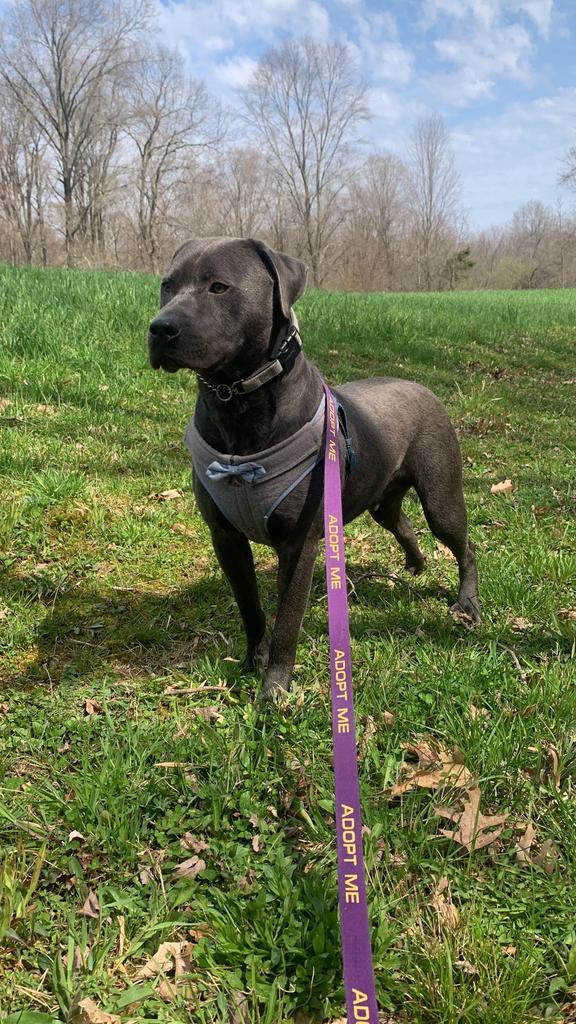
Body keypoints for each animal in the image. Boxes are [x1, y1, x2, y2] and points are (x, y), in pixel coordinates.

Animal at [146, 234, 475, 696]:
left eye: (219, 287)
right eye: (167, 285)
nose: (160, 328)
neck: (238, 404)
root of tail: (423, 387)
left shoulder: (298, 543)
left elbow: (287, 621)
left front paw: (274, 690)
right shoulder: (226, 537)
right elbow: (250, 608)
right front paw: (252, 661)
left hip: (441, 496)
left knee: (464, 545)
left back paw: (467, 604)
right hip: (381, 498)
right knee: (402, 523)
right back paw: (414, 566)